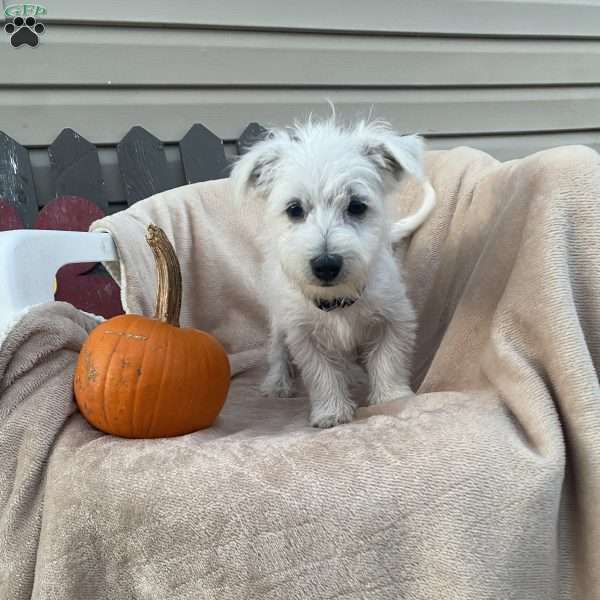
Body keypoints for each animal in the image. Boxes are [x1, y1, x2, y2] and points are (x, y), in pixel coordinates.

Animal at [231, 116, 436, 426]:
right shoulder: (304, 334)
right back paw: (277, 383)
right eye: (294, 209)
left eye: (356, 206)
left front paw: (392, 397)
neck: (339, 300)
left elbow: (388, 360)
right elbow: (322, 375)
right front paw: (331, 411)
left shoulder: (393, 318)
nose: (326, 264)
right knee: (277, 349)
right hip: (278, 317)